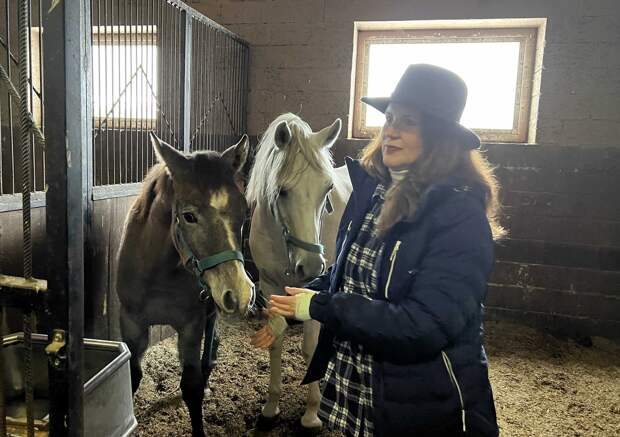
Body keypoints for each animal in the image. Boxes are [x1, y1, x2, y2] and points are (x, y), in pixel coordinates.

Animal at [116, 133, 256, 437]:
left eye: (243, 211)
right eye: (189, 216)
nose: (240, 292)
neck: (159, 274)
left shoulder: (191, 326)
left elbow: (192, 387)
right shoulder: (131, 323)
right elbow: (132, 377)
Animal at [246, 113, 352, 433]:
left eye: (327, 190)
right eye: (282, 191)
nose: (312, 266)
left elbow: (310, 346)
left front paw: (311, 414)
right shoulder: (270, 287)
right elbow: (275, 341)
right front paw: (270, 409)